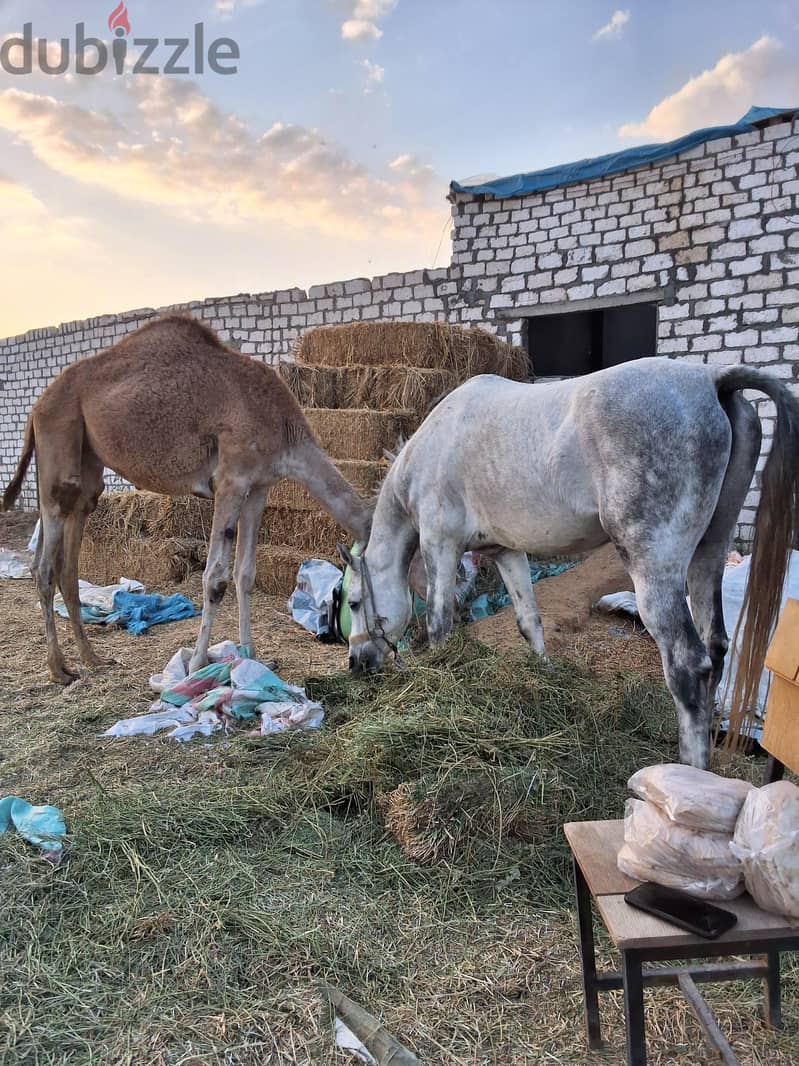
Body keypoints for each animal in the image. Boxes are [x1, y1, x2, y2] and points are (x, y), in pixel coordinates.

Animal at [3, 315, 372, 684]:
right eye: (353, 602)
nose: (363, 660)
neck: (284, 429)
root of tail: (36, 408)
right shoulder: (231, 480)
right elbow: (216, 578)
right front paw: (196, 666)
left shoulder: (259, 487)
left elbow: (245, 574)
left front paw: (252, 657)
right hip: (58, 449)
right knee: (45, 564)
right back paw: (59, 670)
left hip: (86, 468)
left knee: (67, 560)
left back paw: (92, 659)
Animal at [340, 357, 799, 768]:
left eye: (354, 603)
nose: (356, 664)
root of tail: (711, 379)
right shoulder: (506, 552)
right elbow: (529, 621)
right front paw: (545, 677)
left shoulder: (440, 543)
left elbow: (439, 623)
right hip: (709, 553)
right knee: (715, 645)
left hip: (654, 568)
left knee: (688, 662)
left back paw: (690, 771)